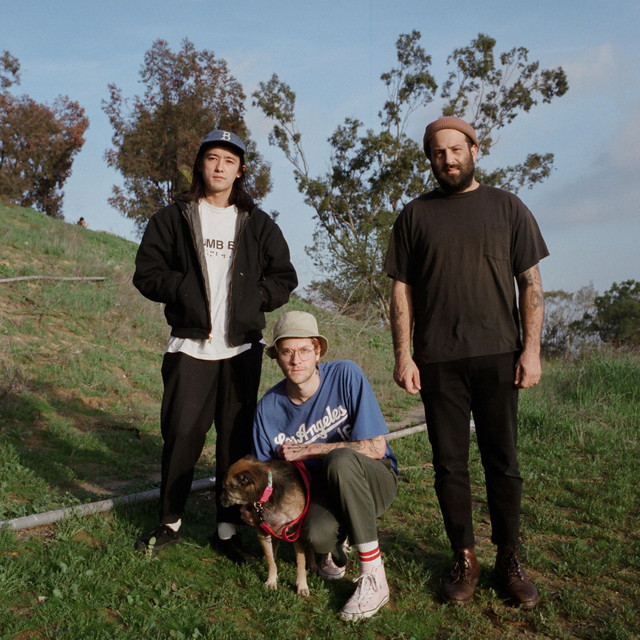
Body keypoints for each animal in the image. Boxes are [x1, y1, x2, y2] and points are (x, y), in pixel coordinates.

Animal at [220, 455, 316, 596]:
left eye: (225, 489)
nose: (220, 500)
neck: (269, 491)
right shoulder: (262, 530)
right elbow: (270, 558)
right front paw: (271, 581)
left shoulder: (294, 532)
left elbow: (301, 561)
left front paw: (302, 585)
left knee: (308, 548)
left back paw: (313, 564)